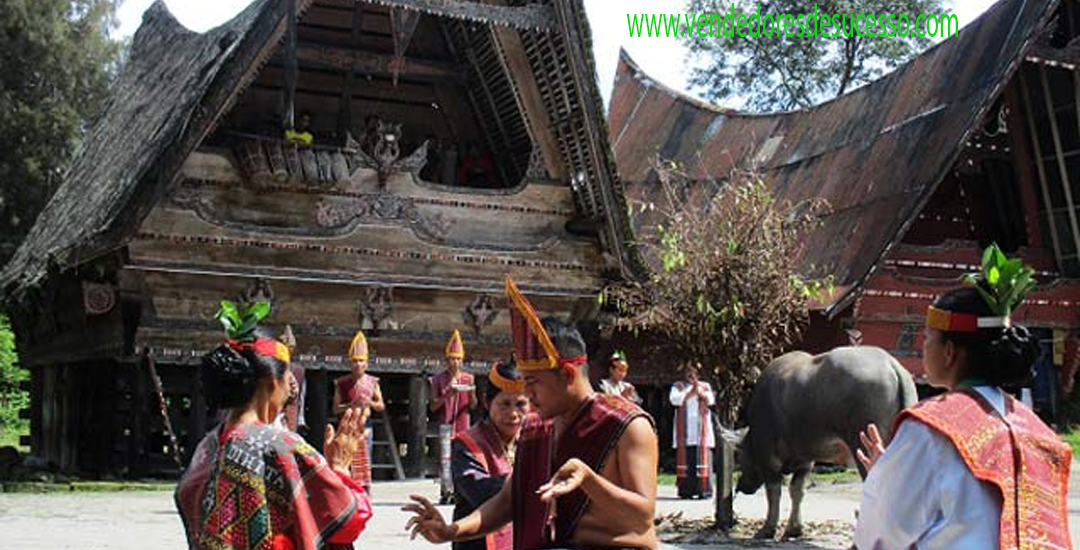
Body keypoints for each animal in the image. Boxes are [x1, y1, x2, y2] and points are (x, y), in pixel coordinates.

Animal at [730, 345, 915, 538]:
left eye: (740, 456)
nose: (741, 486)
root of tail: (891, 365)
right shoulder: (806, 459)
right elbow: (797, 490)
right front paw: (794, 529)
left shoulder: (768, 456)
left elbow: (774, 492)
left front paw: (767, 529)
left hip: (865, 447)